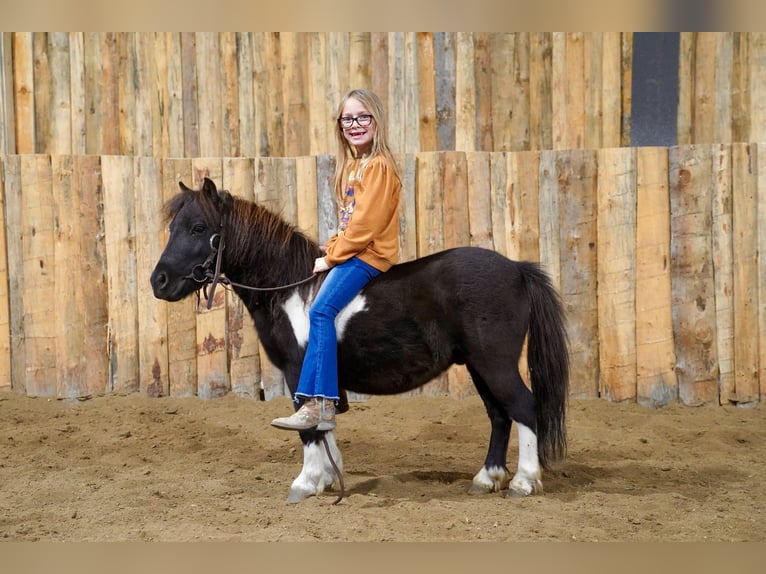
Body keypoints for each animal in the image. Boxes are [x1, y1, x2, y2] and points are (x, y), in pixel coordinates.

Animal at [150, 177, 569, 503]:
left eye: (199, 228)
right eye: (173, 228)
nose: (159, 281)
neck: (290, 288)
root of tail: (517, 268)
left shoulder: (297, 369)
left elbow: (307, 425)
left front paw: (306, 483)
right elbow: (322, 421)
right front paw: (327, 478)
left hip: (494, 362)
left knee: (524, 407)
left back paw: (524, 481)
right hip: (479, 366)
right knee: (500, 414)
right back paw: (487, 478)